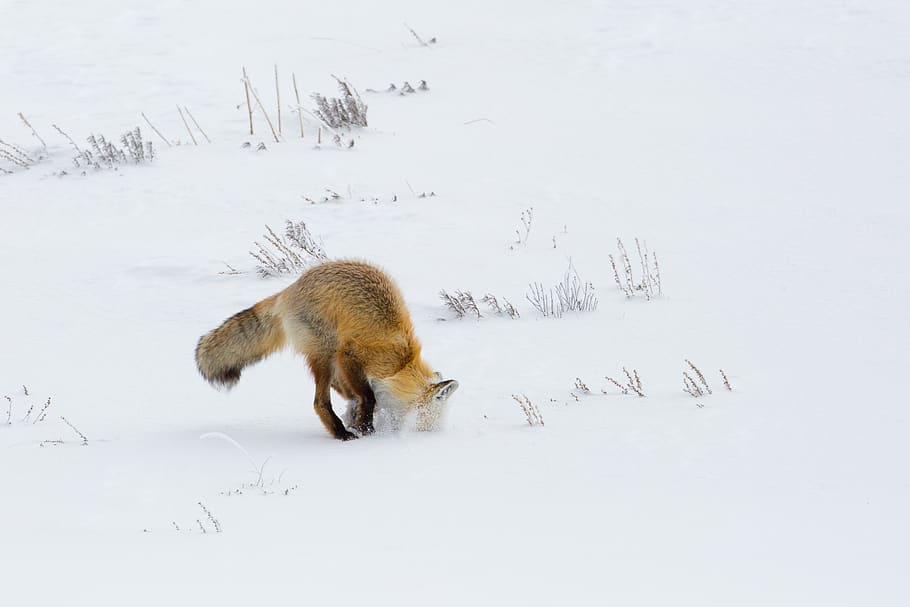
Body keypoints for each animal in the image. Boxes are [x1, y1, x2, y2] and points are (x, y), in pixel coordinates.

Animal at [195, 260, 458, 440]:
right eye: (430, 421)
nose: (423, 436)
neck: (402, 364)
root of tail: (289, 289)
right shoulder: (351, 356)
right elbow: (368, 397)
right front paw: (365, 429)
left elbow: (357, 398)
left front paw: (358, 420)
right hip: (327, 352)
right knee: (319, 402)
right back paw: (341, 433)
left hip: (327, 358)